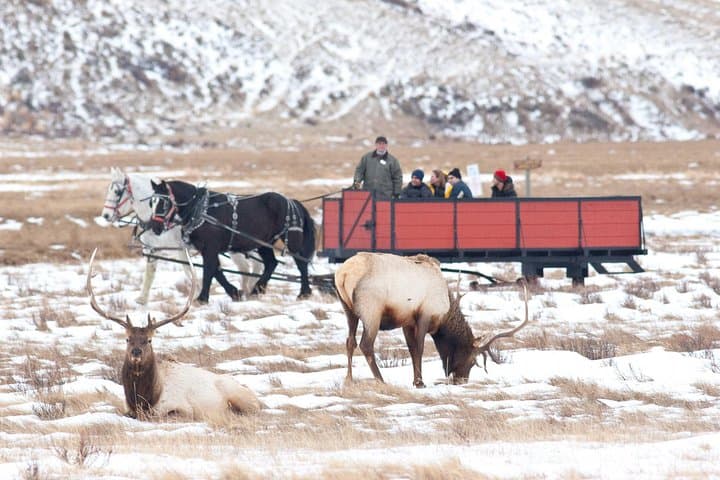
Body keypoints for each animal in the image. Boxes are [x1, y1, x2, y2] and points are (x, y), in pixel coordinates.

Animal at [87, 248, 261, 422]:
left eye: (149, 340)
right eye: (127, 339)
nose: (136, 352)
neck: (144, 399)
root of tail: (256, 397)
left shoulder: (182, 409)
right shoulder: (127, 409)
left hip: (241, 398)